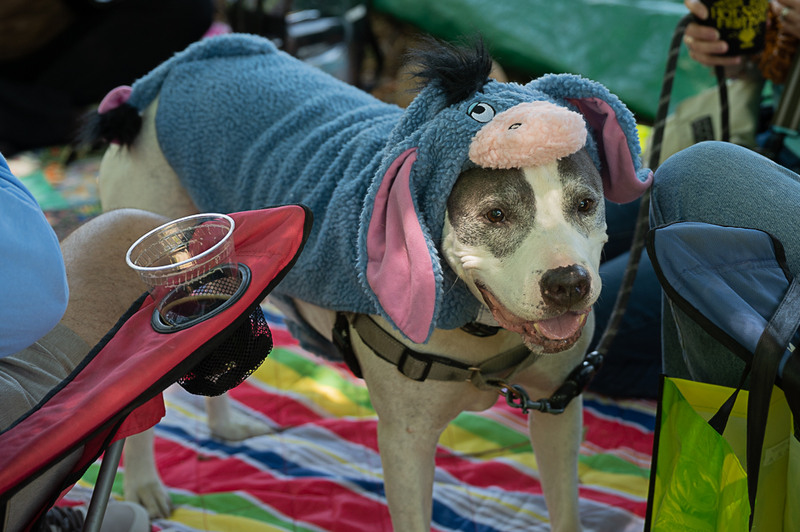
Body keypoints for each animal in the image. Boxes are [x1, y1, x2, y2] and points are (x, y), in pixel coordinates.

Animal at [89, 34, 648, 532]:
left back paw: (226, 428)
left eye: (586, 203)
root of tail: (173, 72)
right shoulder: (406, 444)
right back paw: (143, 486)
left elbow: (566, 512)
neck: (481, 329)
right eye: (495, 214)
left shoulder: (558, 410)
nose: (568, 283)